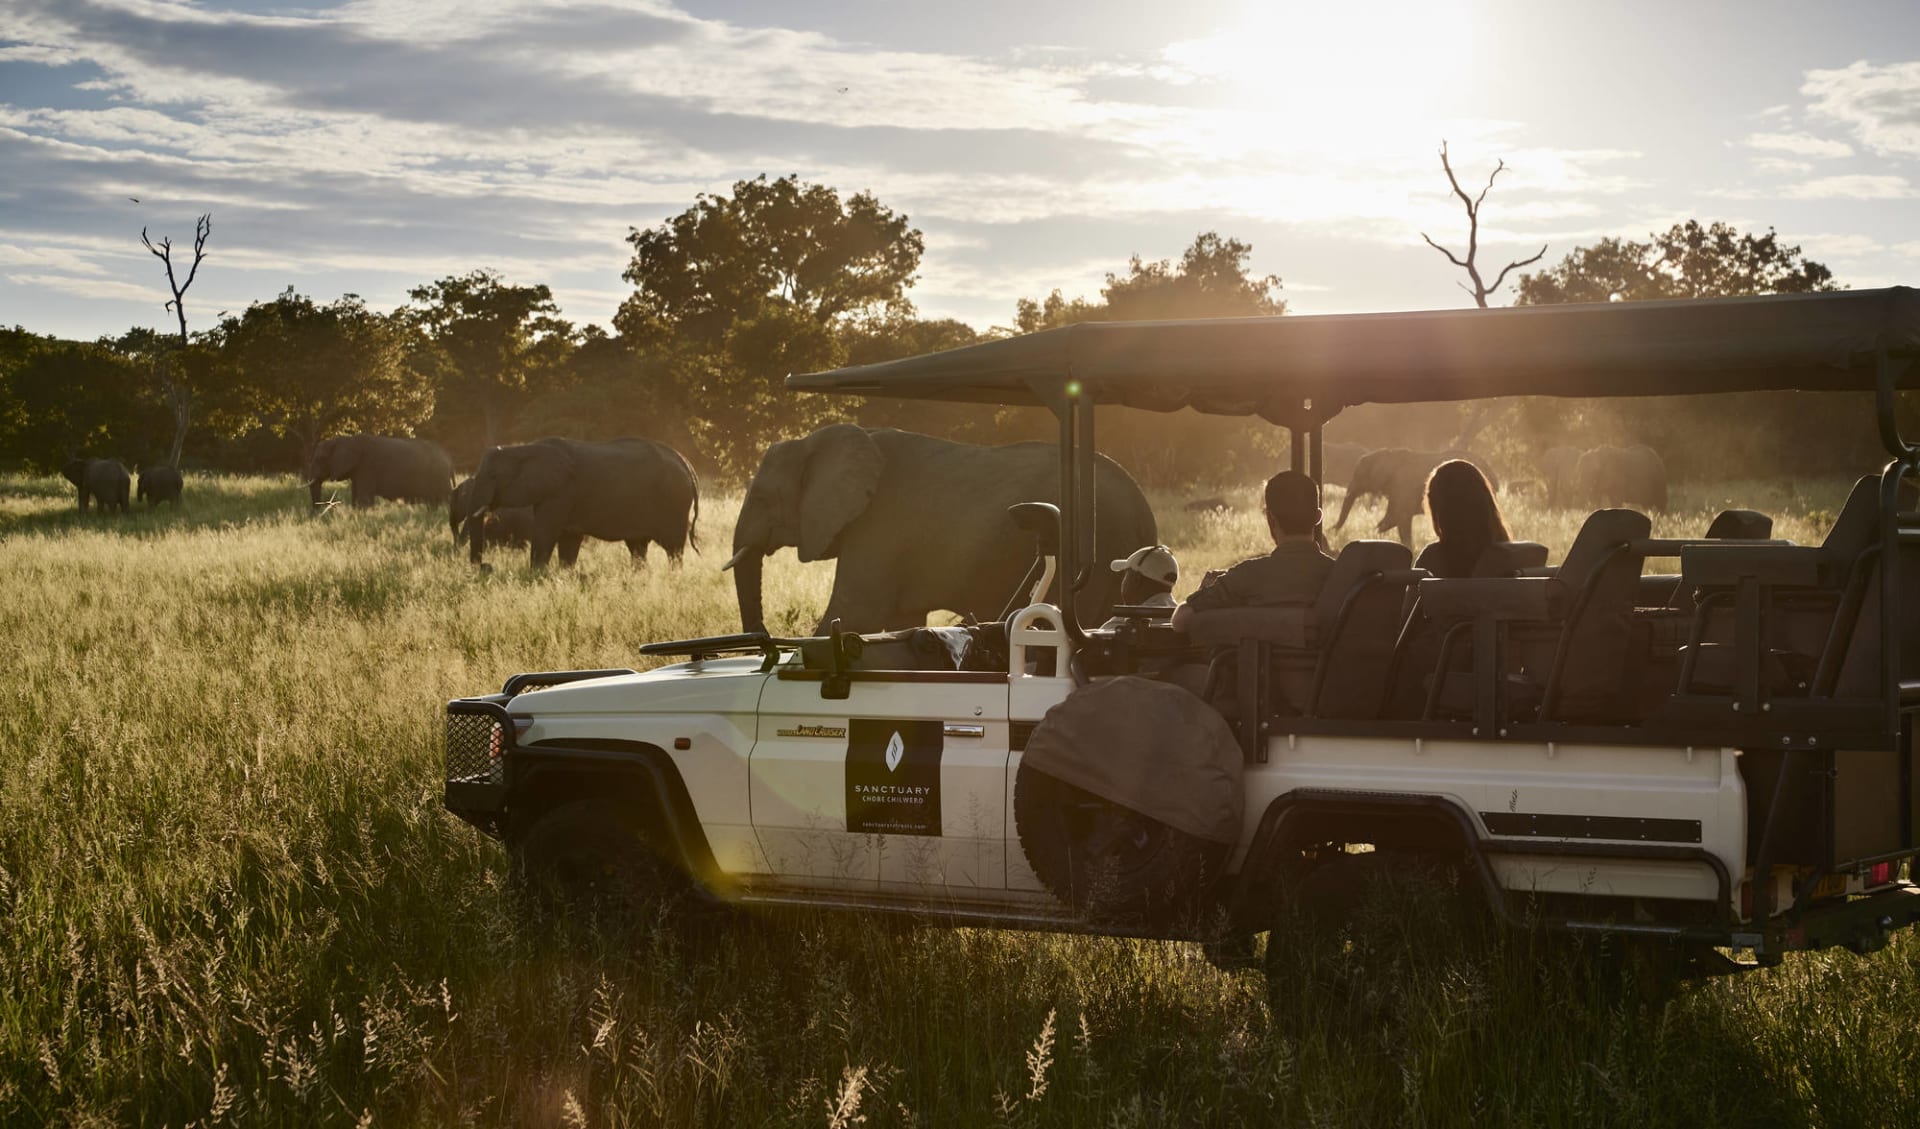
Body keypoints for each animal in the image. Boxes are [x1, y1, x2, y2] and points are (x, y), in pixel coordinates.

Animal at [309, 433, 455, 510]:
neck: (346, 439)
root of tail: (448, 457)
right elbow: (356, 494)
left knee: (442, 499)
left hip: (438, 476)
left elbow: (364, 497)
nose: (317, 513)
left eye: (320, 459)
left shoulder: (367, 467)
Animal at [460, 435, 702, 568]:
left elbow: (545, 533)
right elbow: (568, 541)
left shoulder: (561, 491)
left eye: (493, 476)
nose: (484, 567)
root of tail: (687, 463)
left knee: (673, 549)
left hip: (674, 502)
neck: (524, 448)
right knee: (638, 547)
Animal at [729, 422, 1152, 633]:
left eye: (762, 498)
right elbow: (899, 623)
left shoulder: (878, 528)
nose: (762, 640)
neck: (812, 441)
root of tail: (1141, 506)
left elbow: (853, 615)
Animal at [1336, 447, 1497, 545]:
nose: (1334, 532)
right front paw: (1375, 537)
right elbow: (1391, 519)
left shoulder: (1403, 487)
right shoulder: (1397, 491)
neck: (1388, 454)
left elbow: (1400, 519)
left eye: (1358, 475)